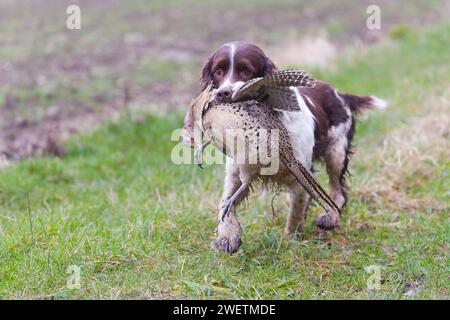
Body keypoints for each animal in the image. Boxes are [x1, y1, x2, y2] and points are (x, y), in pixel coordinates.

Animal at [183, 41, 386, 254]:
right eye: (218, 71)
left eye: (246, 71)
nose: (223, 93)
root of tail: (339, 94)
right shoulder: (236, 171)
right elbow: (226, 201)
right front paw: (228, 236)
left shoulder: (298, 176)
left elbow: (295, 213)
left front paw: (291, 242)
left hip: (335, 153)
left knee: (338, 191)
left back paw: (330, 218)